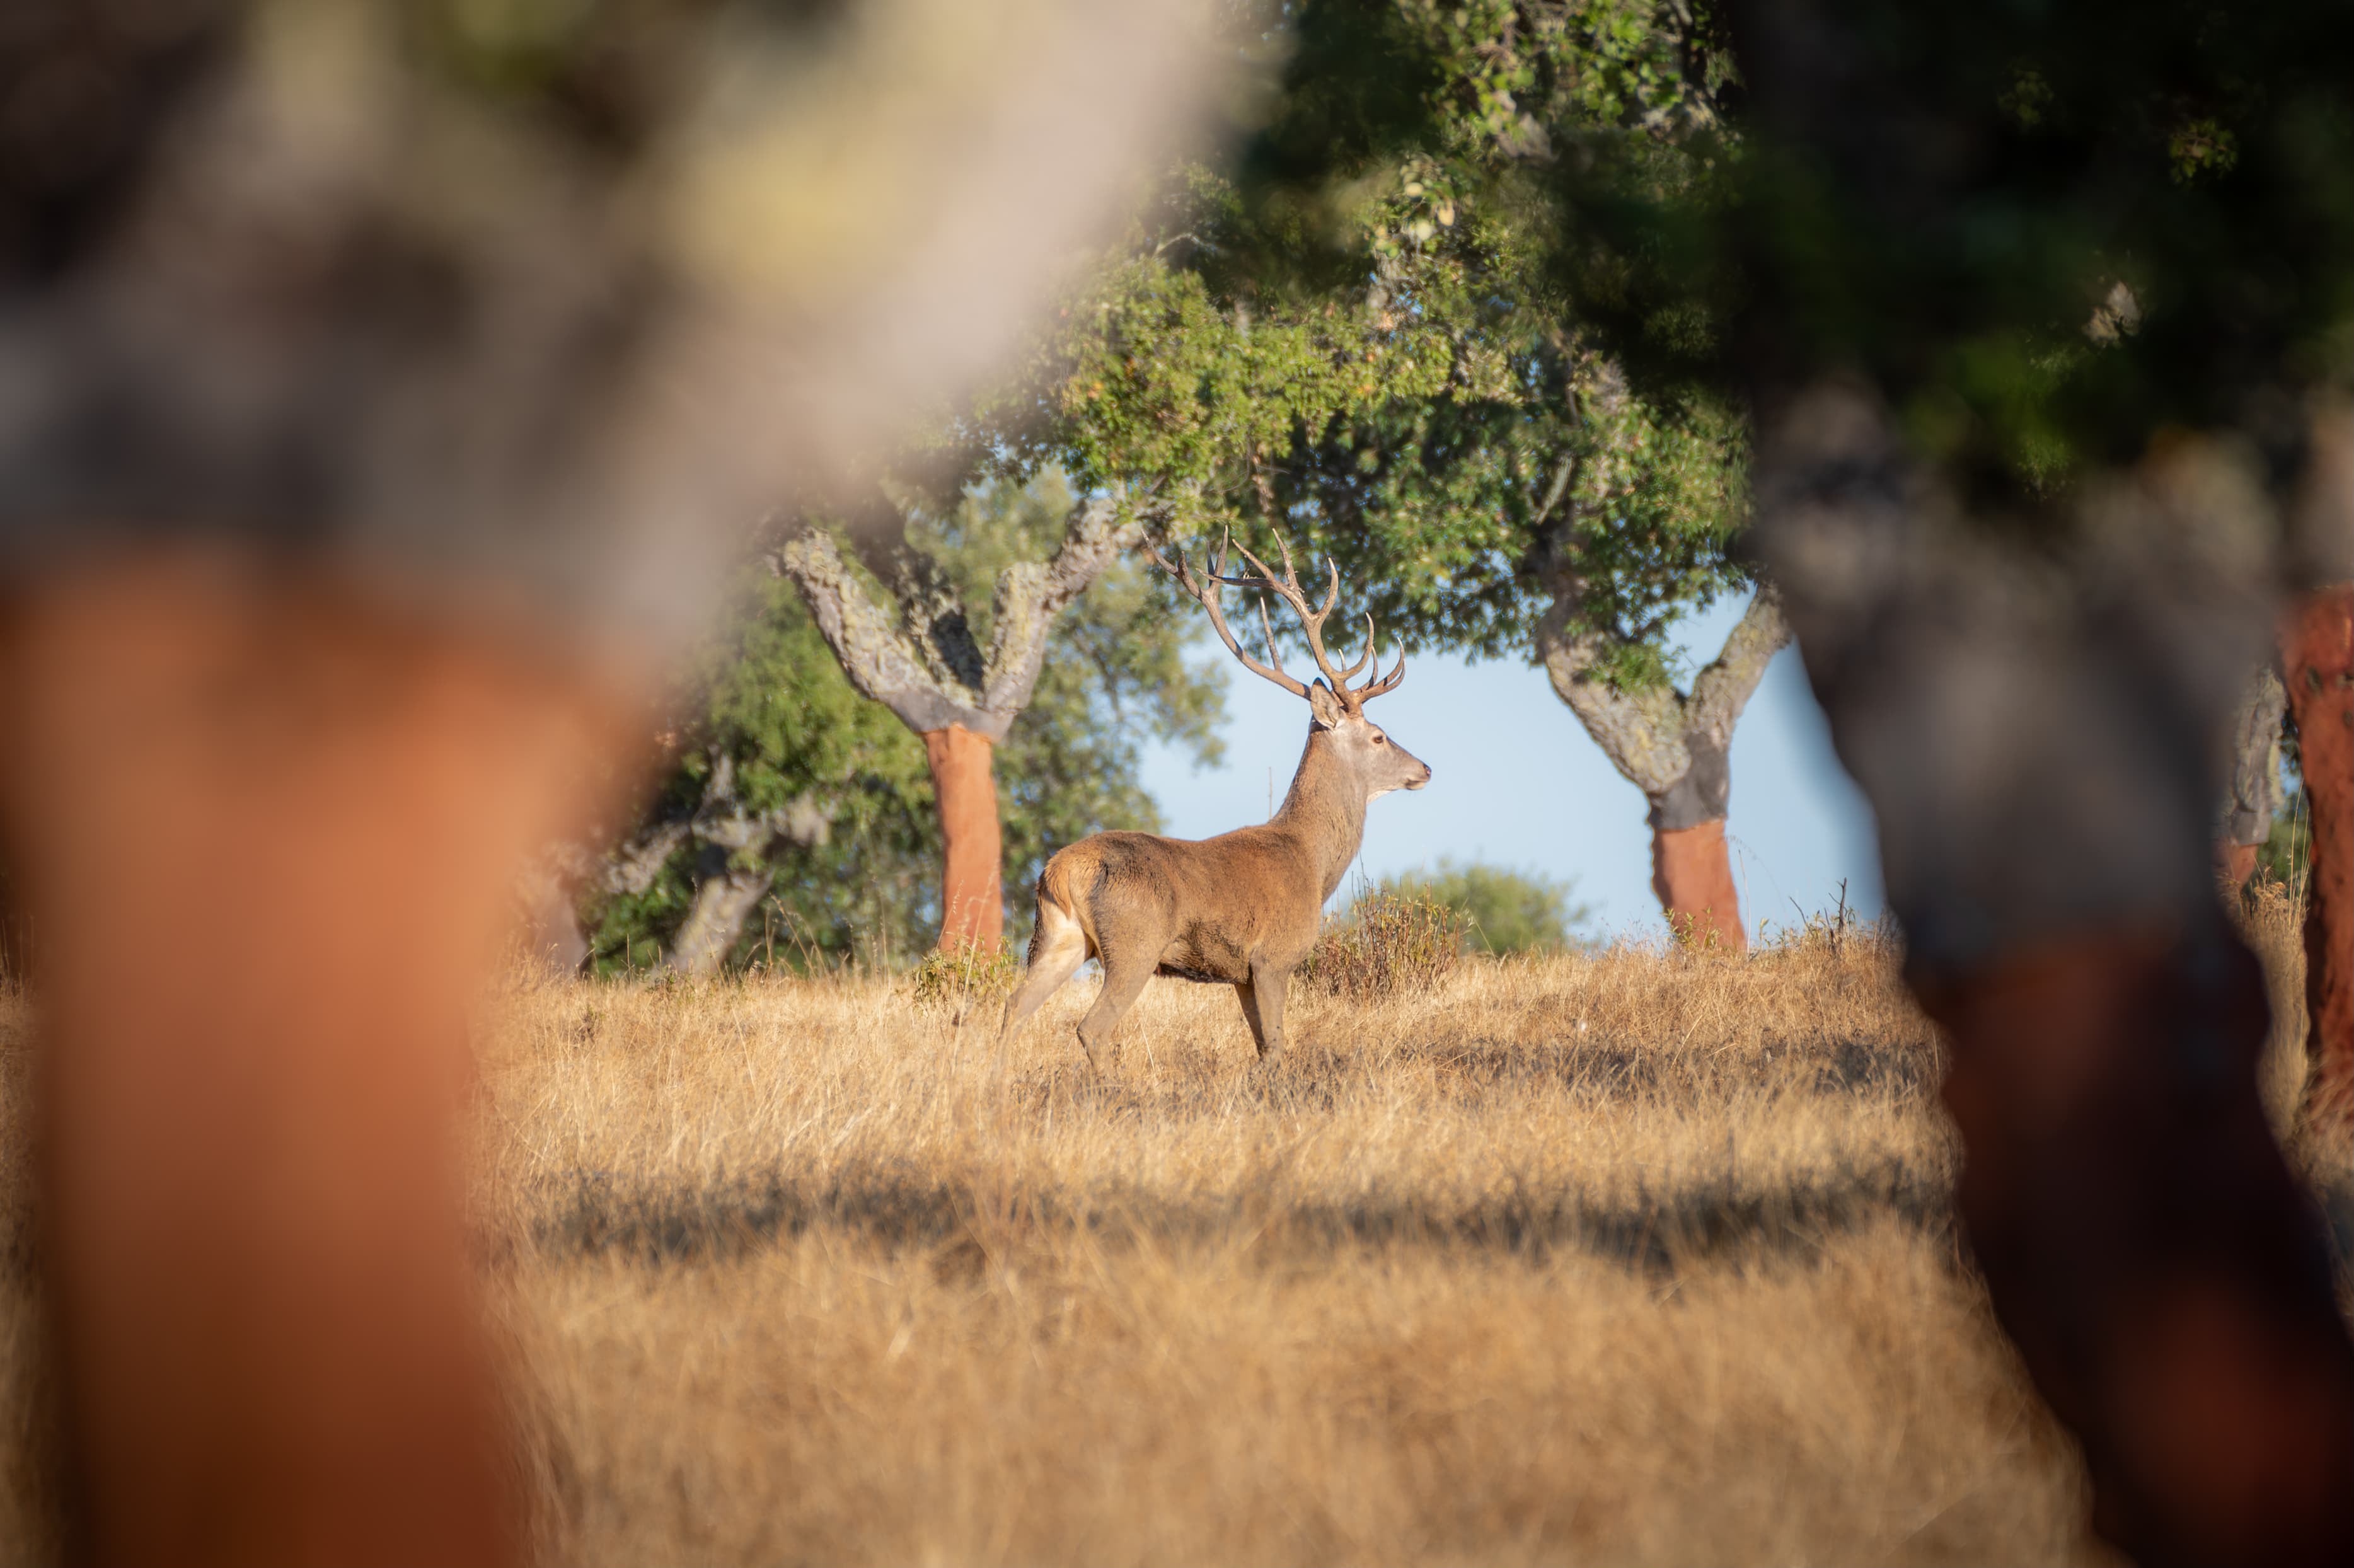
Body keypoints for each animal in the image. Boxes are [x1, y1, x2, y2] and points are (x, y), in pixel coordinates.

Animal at [1000, 531, 1432, 1068]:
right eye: (1378, 737)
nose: (1425, 769)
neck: (1311, 863)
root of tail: (1060, 870)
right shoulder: (1272, 958)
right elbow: (1276, 1045)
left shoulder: (1240, 974)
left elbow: (1263, 1046)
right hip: (1134, 944)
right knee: (1090, 1027)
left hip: (1060, 938)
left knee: (1013, 1007)